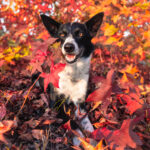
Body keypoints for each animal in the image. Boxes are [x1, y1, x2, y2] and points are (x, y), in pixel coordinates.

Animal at [39, 12, 103, 146]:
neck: (72, 72)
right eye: (62, 35)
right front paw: (78, 138)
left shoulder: (80, 102)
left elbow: (87, 122)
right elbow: (71, 121)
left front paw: (93, 139)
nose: (68, 47)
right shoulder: (55, 104)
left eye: (80, 34)